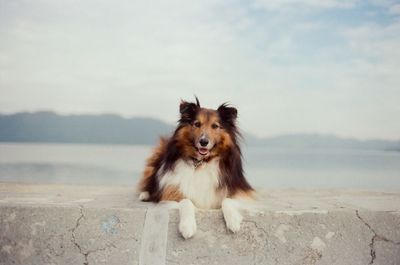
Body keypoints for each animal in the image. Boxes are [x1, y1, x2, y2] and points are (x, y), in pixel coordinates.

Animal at [138, 98, 253, 238]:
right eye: (197, 124)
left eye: (215, 126)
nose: (204, 142)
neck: (201, 163)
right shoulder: (171, 194)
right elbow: (186, 201)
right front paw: (187, 226)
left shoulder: (241, 192)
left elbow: (227, 199)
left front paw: (233, 220)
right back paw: (145, 195)